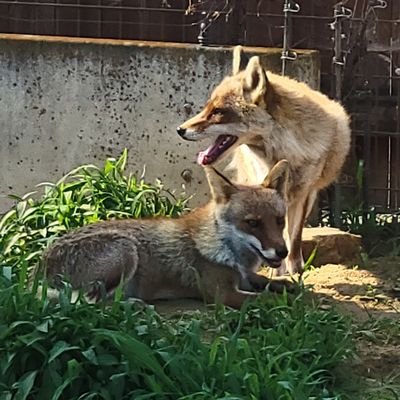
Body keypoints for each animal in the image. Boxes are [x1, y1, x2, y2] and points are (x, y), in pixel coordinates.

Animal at [40, 160, 290, 310]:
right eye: (252, 223)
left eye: (280, 221)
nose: (283, 252)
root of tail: (39, 268)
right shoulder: (222, 294)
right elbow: (270, 299)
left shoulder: (243, 278)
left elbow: (270, 282)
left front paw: (284, 284)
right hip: (126, 250)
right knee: (89, 303)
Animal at [177, 44, 350, 276]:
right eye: (207, 108)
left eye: (218, 112)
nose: (180, 130)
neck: (287, 151)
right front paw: (277, 272)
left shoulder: (302, 194)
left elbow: (293, 240)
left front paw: (295, 272)